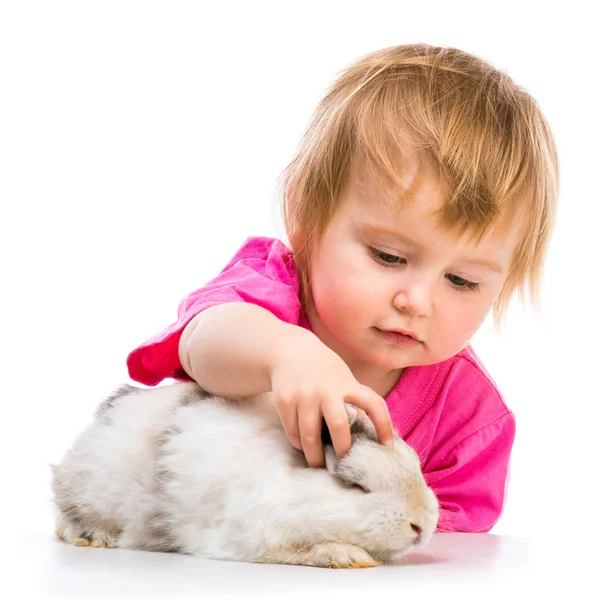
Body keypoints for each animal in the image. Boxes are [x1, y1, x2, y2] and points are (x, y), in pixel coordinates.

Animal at [51, 382, 438, 568]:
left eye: (414, 465)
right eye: (355, 485)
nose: (422, 525)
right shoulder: (250, 537)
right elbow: (298, 549)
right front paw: (347, 557)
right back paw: (94, 537)